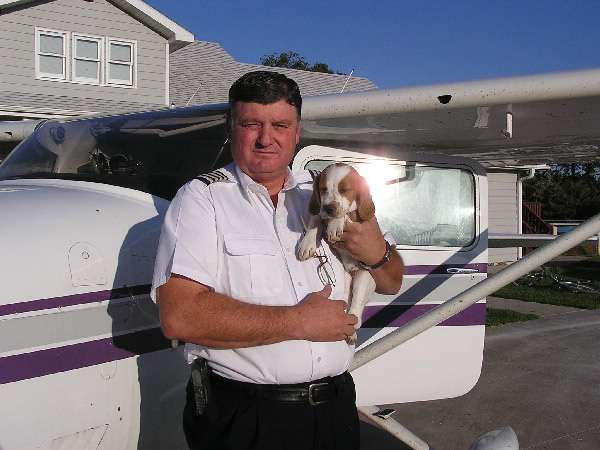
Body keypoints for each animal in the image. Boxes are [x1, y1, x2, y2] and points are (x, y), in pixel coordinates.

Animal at [298, 163, 378, 342]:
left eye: (345, 189)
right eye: (323, 189)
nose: (329, 208)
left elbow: (344, 213)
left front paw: (335, 224)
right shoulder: (320, 212)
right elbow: (316, 218)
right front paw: (307, 244)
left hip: (364, 276)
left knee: (357, 306)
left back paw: (353, 328)